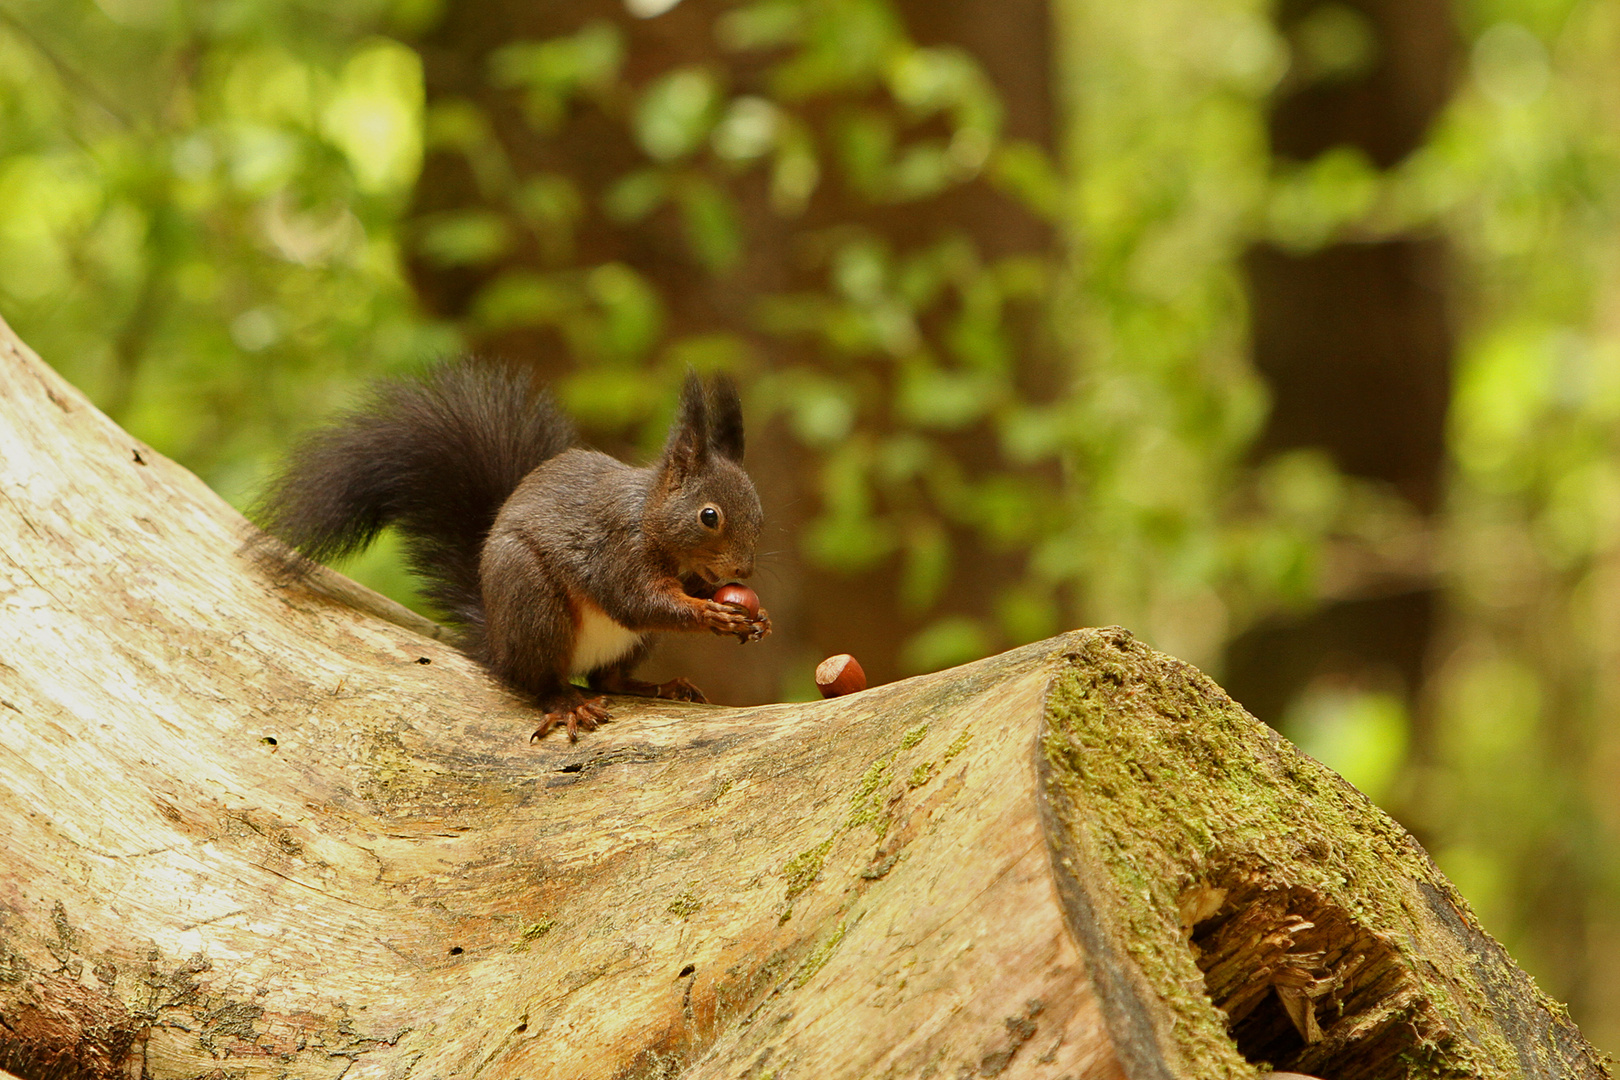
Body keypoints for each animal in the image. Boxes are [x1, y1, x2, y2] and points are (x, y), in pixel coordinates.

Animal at [255, 362, 774, 744]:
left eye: (759, 511)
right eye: (709, 516)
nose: (744, 568)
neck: (648, 517)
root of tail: (497, 644)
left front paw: (757, 618)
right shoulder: (617, 551)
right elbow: (639, 602)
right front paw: (713, 615)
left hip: (631, 642)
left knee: (608, 680)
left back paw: (659, 687)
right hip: (533, 602)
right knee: (536, 682)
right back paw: (567, 703)